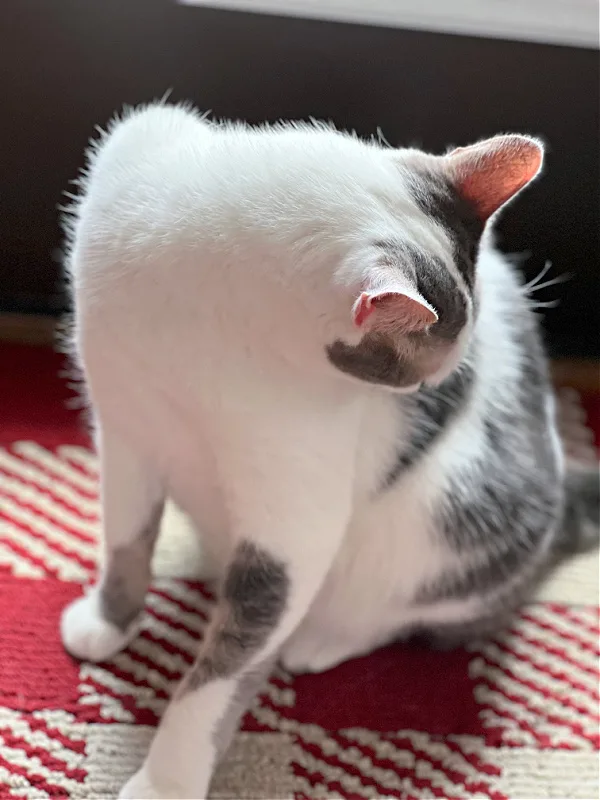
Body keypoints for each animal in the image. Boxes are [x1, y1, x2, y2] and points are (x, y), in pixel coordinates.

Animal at [58, 103, 596, 796]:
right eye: (418, 370)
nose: (438, 389)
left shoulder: (290, 523)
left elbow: (219, 674)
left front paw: (165, 780)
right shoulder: (126, 431)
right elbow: (126, 540)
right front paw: (109, 619)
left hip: (458, 525)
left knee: (406, 610)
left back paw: (321, 638)